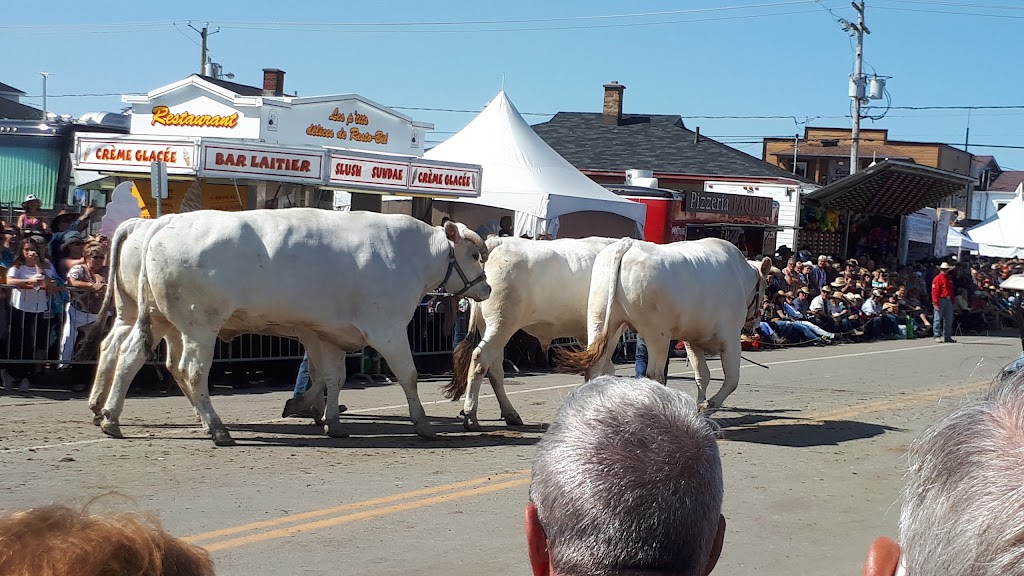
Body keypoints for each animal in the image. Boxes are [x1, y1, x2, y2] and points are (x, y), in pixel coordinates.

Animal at [90, 210, 489, 444]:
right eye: (474, 255)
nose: (485, 288)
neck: (410, 256)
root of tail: (163, 222)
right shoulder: (387, 328)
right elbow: (408, 375)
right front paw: (422, 424)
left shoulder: (327, 332)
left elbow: (333, 378)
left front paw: (329, 420)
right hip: (198, 325)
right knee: (190, 370)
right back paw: (217, 428)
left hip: (155, 318)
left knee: (128, 355)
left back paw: (110, 416)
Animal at [446, 235, 618, 428]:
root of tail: (496, 242)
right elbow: (601, 366)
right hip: (501, 324)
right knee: (480, 360)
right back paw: (471, 414)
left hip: (491, 326)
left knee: (495, 369)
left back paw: (510, 413)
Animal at [561, 235, 770, 409]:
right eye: (764, 288)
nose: (755, 323)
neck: (739, 276)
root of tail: (627, 244)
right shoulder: (730, 338)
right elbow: (732, 379)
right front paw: (710, 405)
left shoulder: (692, 339)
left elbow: (702, 375)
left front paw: (700, 407)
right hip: (657, 334)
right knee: (654, 374)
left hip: (602, 322)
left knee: (596, 367)